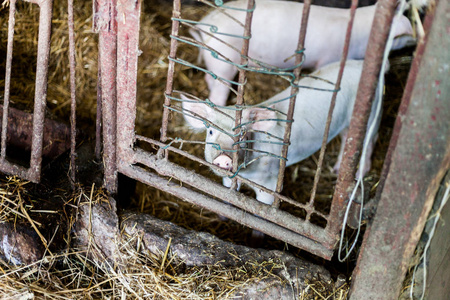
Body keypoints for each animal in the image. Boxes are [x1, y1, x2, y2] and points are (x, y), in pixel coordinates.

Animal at [182, 61, 380, 206]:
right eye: (210, 130)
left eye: (243, 134)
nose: (224, 157)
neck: (247, 175)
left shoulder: (269, 184)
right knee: (347, 139)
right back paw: (337, 169)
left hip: (371, 115)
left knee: (368, 142)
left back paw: (357, 174)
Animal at [188, 0, 414, 105]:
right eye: (407, 31)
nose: (416, 38)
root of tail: (203, 26)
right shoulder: (328, 60)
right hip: (224, 61)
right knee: (217, 92)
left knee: (209, 79)